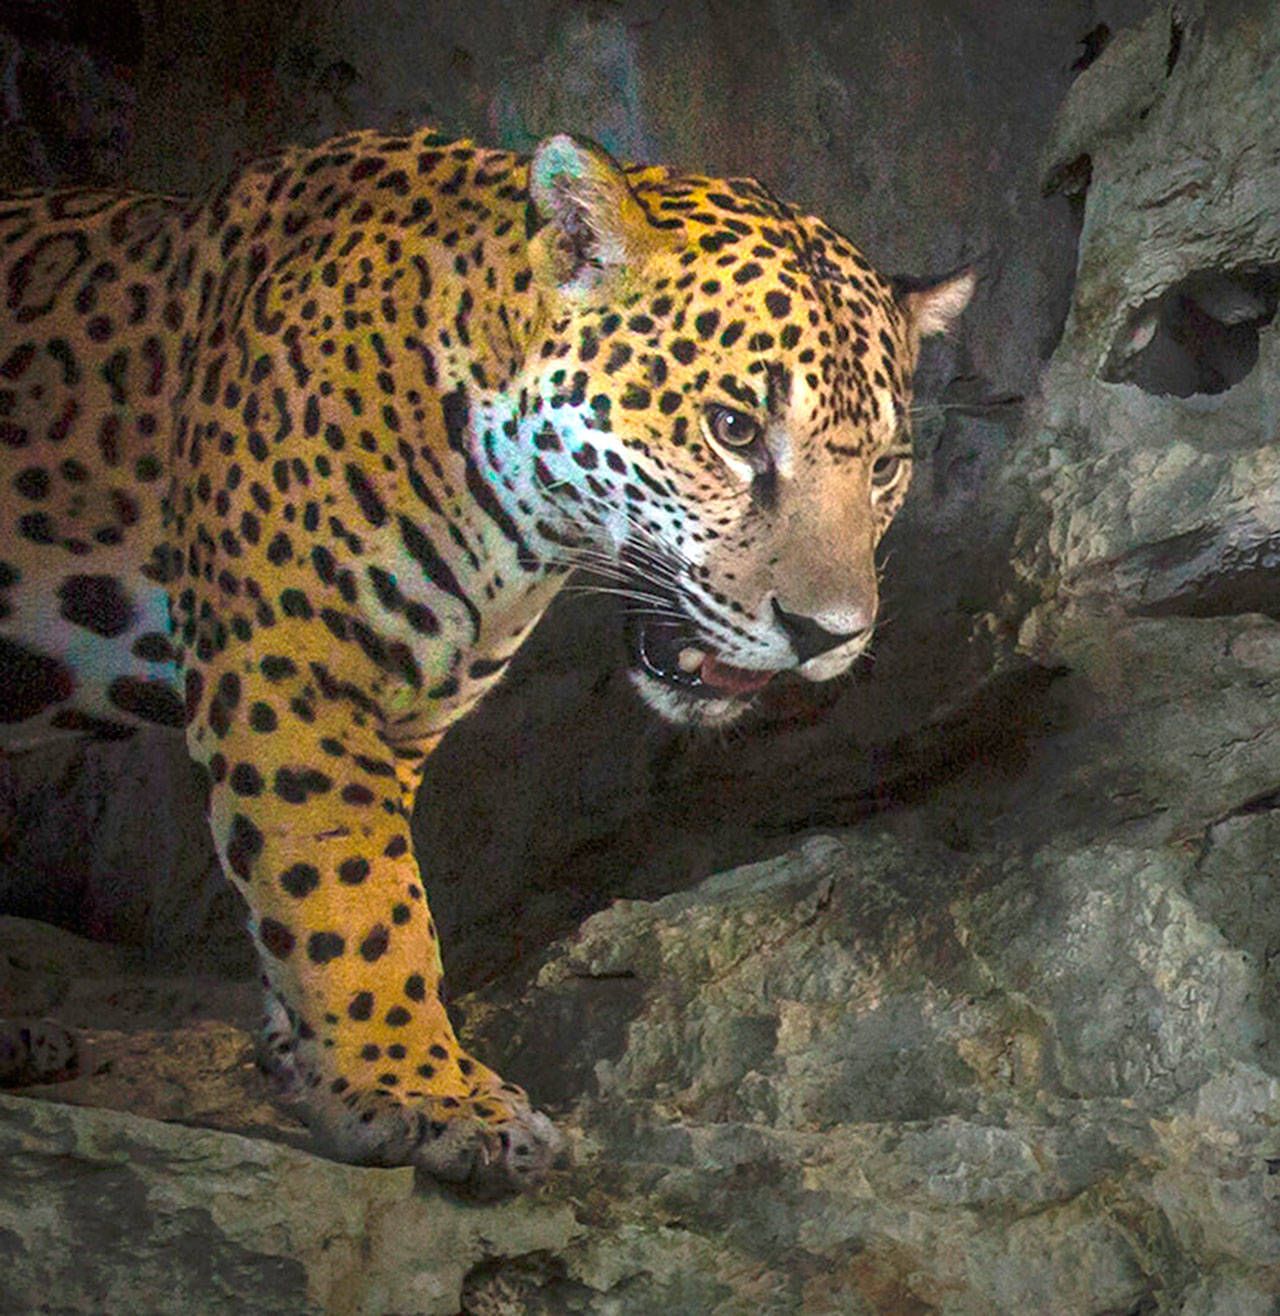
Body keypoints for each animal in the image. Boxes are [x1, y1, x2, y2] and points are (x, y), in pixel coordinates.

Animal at [0, 125, 972, 1193]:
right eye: (734, 430)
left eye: (884, 468)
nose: (831, 634)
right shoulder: (294, 674)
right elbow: (353, 898)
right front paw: (421, 1092)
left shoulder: (401, 718)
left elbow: (352, 899)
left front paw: (324, 1061)